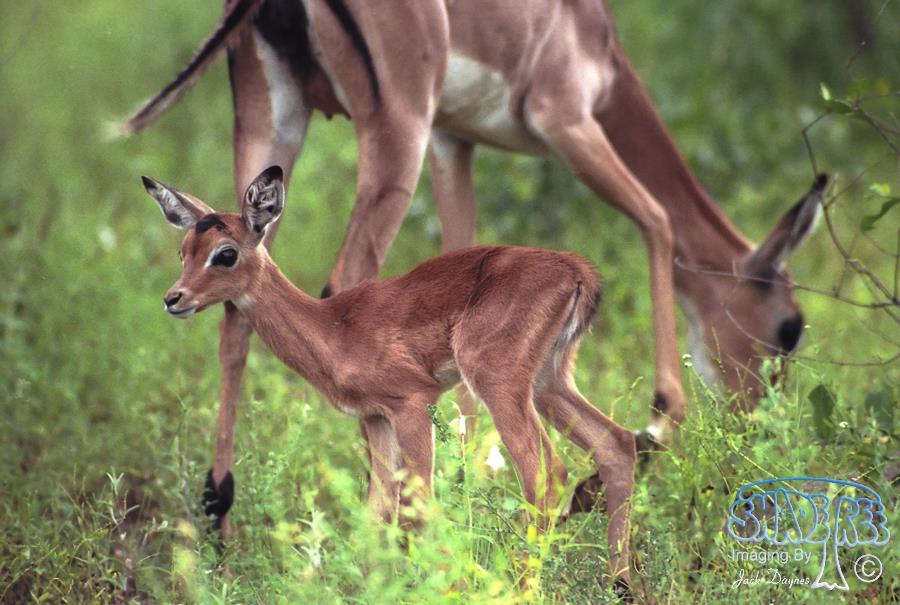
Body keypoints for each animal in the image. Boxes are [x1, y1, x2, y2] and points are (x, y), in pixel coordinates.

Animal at [121, 0, 824, 538]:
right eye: (790, 327)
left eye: (222, 253)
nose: (757, 418)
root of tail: (580, 276)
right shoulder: (552, 121)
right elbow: (659, 220)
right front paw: (661, 416)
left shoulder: (459, 145)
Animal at [142, 165, 637, 592]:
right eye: (183, 251)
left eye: (225, 253)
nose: (173, 298)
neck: (334, 328)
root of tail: (577, 270)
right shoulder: (375, 418)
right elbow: (376, 514)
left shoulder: (411, 404)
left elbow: (420, 505)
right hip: (549, 381)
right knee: (617, 444)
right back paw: (621, 585)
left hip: (499, 383)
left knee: (547, 475)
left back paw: (519, 586)